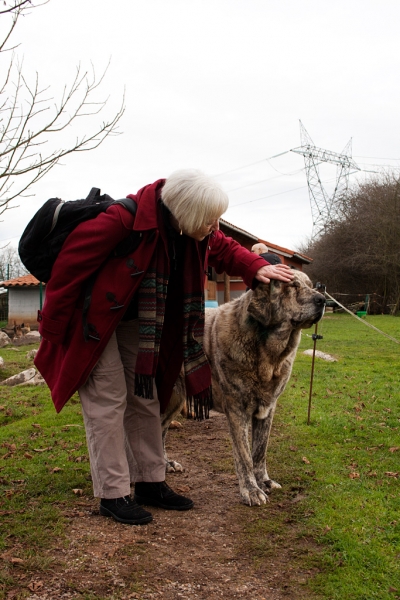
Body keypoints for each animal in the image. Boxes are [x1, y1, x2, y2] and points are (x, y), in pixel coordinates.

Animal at [161, 272, 326, 506]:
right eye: (292, 286)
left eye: (311, 286)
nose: (323, 300)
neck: (267, 355)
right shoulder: (237, 410)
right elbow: (244, 455)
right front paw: (251, 489)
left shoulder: (267, 409)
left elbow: (259, 451)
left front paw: (264, 482)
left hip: (175, 401)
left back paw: (165, 464)